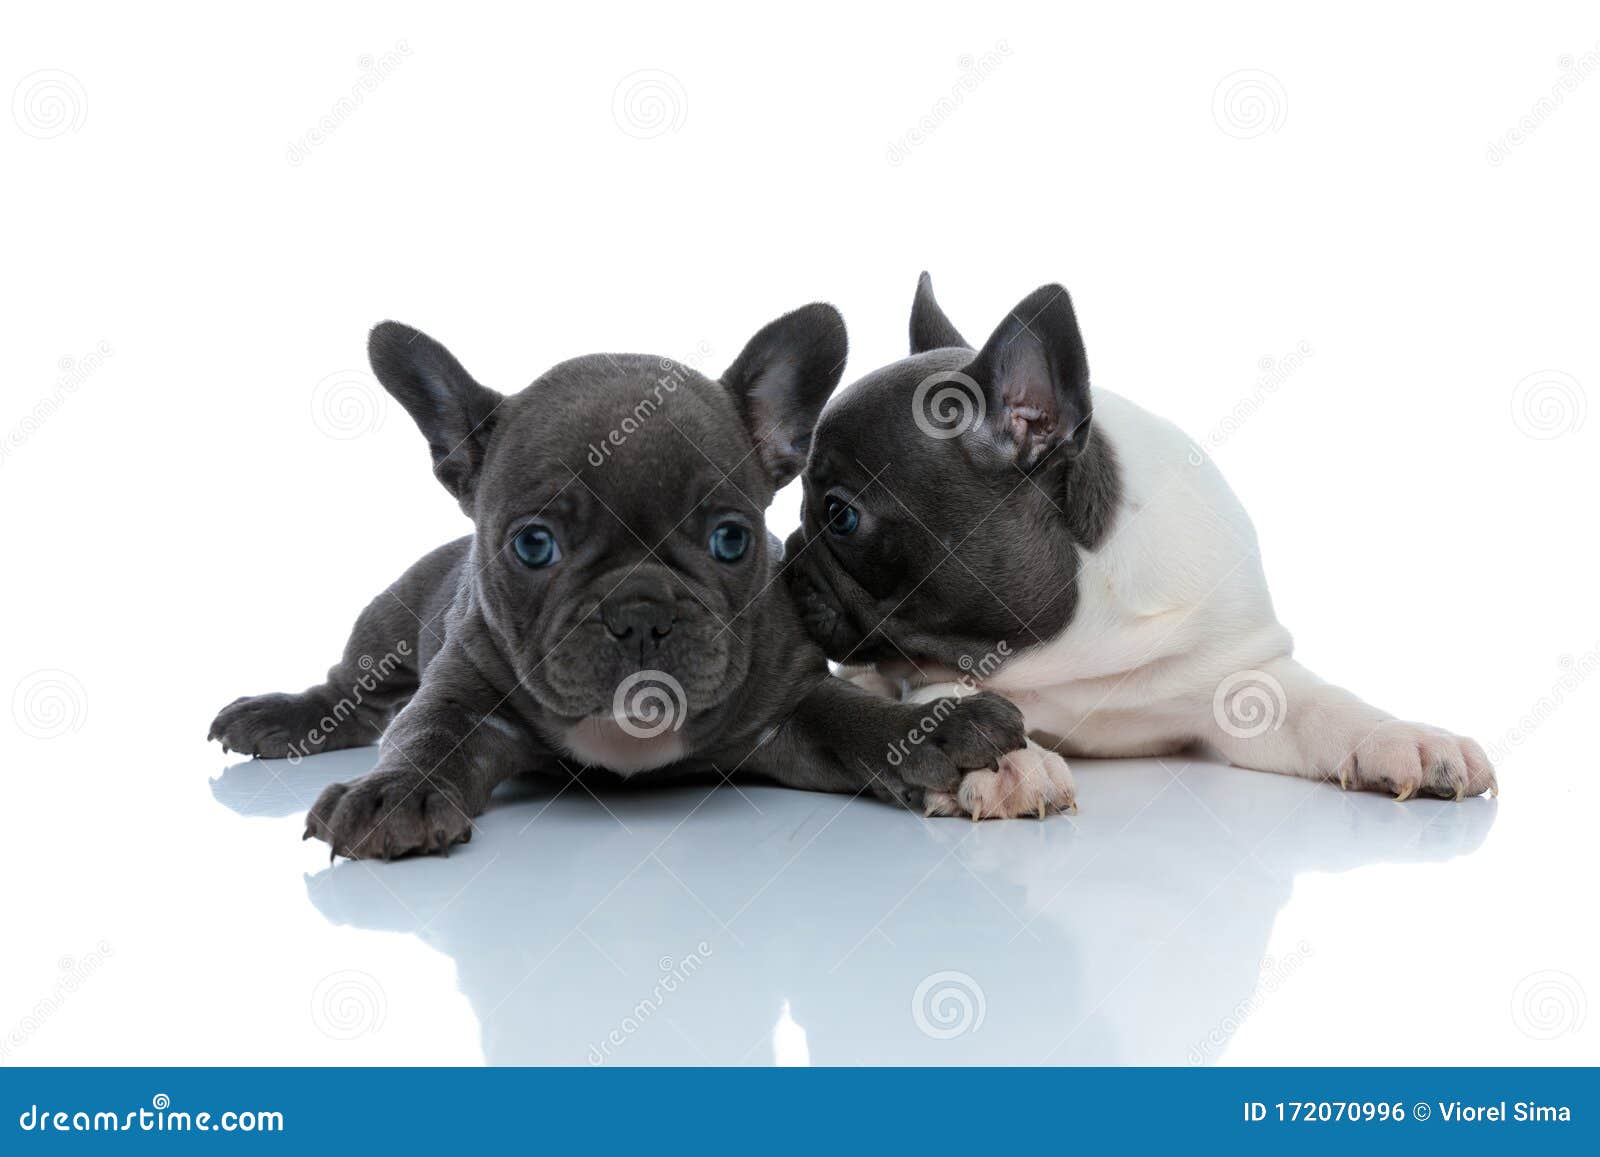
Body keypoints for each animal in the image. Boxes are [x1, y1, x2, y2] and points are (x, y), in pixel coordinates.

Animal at [209, 307, 1024, 857]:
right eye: (533, 544)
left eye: (731, 539)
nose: (639, 613)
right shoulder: (464, 698)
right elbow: (425, 734)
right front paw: (393, 792)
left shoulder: (787, 710)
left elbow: (853, 717)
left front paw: (939, 726)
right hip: (385, 623)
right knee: (355, 697)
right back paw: (281, 716)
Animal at [780, 275, 1491, 819]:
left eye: (840, 515)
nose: (784, 555)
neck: (1073, 636)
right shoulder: (927, 672)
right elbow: (943, 696)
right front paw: (1007, 761)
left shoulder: (1238, 675)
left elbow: (1324, 706)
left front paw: (1405, 736)